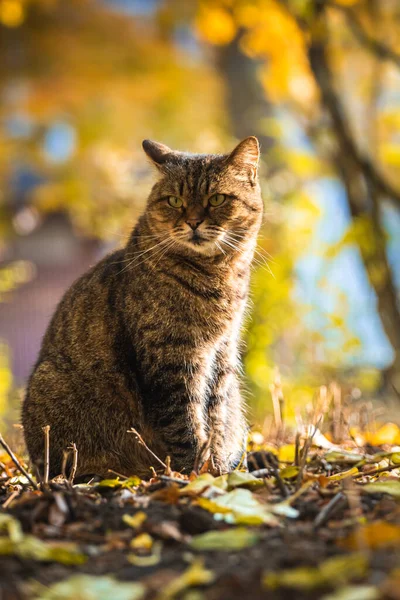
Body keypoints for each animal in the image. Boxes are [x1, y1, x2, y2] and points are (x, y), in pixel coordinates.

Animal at [23, 136, 264, 478]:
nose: (193, 222)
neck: (217, 273)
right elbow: (184, 422)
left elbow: (215, 418)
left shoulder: (222, 351)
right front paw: (194, 474)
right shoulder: (171, 357)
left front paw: (216, 470)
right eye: (174, 201)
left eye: (217, 199)